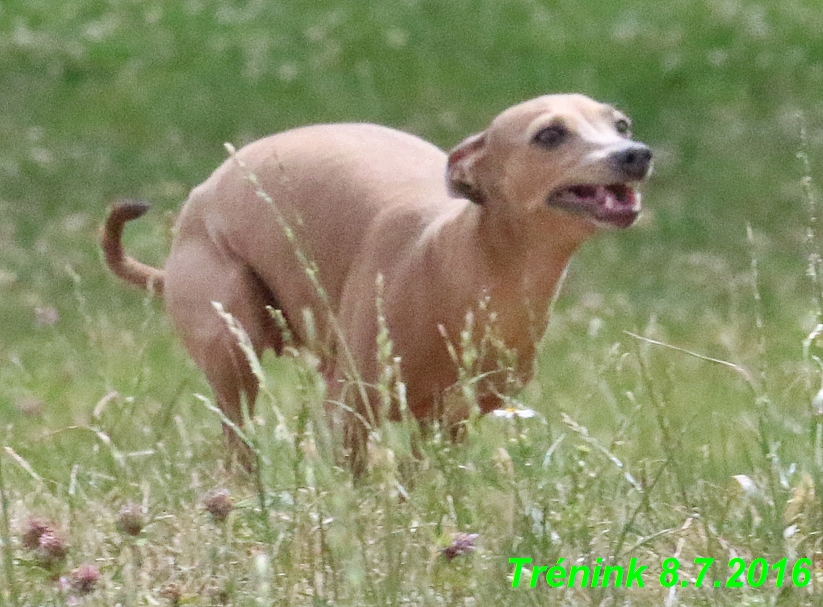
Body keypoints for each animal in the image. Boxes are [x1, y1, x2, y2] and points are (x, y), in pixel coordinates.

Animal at [103, 92, 652, 468]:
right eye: (550, 134)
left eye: (621, 123)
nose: (636, 153)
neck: (468, 266)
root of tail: (201, 194)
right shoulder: (351, 409)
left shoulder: (447, 422)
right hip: (232, 341)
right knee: (237, 443)